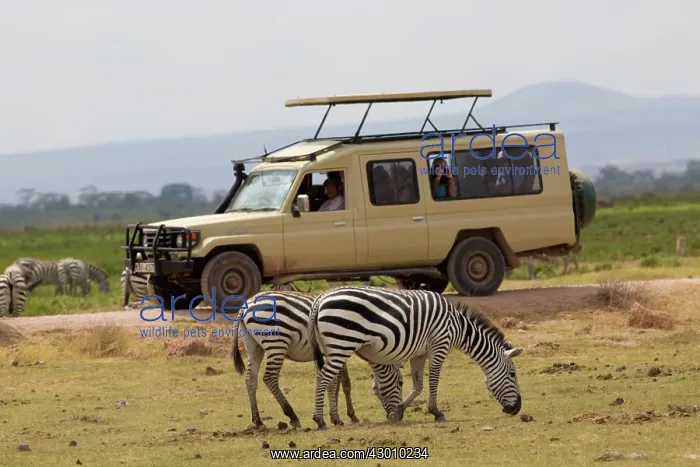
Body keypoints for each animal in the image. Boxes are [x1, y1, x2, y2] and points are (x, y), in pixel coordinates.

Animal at [230, 290, 404, 429]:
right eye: (401, 383)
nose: (398, 417)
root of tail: (246, 306)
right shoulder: (339, 349)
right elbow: (336, 384)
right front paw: (338, 418)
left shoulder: (339, 350)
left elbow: (345, 384)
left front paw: (349, 415)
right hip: (277, 342)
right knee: (269, 378)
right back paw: (292, 416)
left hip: (253, 346)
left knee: (250, 379)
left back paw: (258, 421)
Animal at [307, 285, 523, 430]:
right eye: (513, 374)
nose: (517, 409)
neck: (459, 327)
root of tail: (320, 298)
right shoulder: (439, 346)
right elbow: (433, 381)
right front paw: (436, 412)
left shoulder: (419, 354)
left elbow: (418, 385)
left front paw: (398, 411)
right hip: (343, 343)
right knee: (322, 378)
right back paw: (319, 420)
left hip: (332, 347)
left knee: (331, 382)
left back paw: (335, 419)